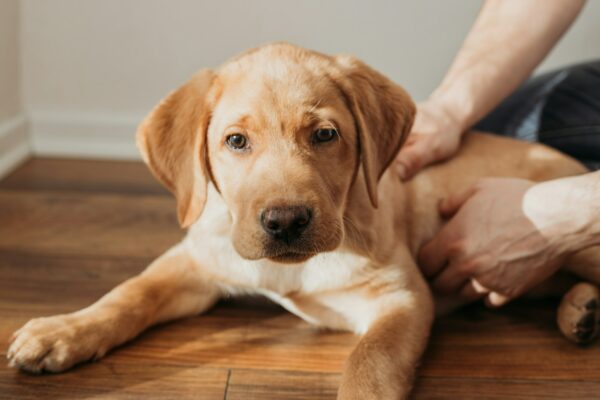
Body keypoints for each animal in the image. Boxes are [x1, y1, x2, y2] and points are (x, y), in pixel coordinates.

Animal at [8, 42, 600, 398]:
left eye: (325, 135)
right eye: (236, 141)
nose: (286, 221)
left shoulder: (401, 298)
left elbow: (369, 365)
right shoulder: (198, 260)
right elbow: (129, 293)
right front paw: (61, 330)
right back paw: (580, 312)